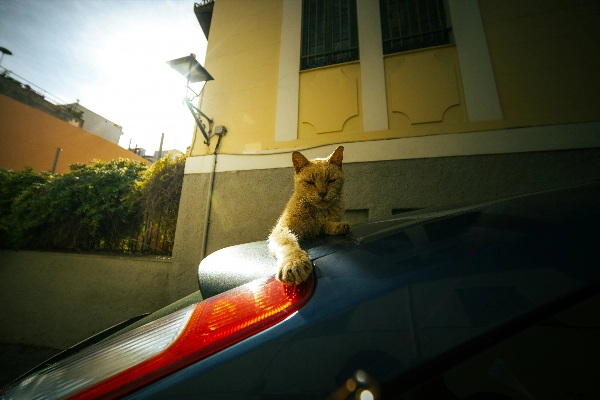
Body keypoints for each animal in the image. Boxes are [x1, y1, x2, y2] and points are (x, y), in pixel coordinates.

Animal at [268, 146, 350, 284]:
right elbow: (288, 243)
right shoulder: (282, 228)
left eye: (331, 181)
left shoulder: (320, 226)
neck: (317, 211)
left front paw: (339, 226)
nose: (322, 193)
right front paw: (293, 263)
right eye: (310, 182)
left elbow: (326, 224)